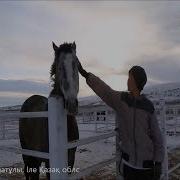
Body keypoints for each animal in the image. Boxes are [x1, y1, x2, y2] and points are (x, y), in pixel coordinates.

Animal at [18, 41, 79, 179]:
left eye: (76, 64)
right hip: (27, 153)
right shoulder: (49, 162)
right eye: (59, 67)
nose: (72, 104)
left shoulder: (70, 159)